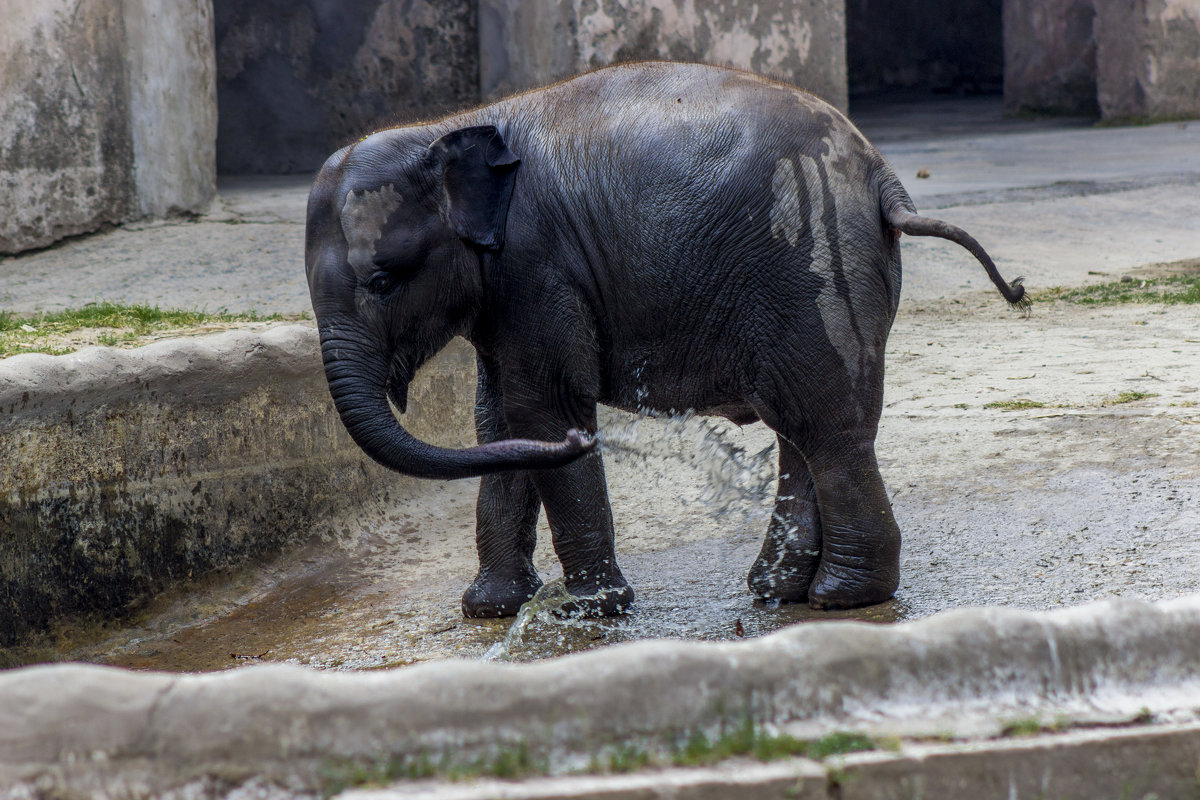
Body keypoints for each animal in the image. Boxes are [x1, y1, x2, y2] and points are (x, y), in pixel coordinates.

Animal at [304, 61, 1027, 618]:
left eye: (383, 279)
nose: (590, 439)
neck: (450, 126)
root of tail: (883, 177)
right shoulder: (505, 290)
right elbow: (498, 422)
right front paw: (490, 609)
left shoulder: (540, 266)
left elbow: (542, 410)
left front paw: (588, 609)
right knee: (801, 426)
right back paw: (779, 591)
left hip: (812, 260)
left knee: (824, 425)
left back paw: (841, 598)